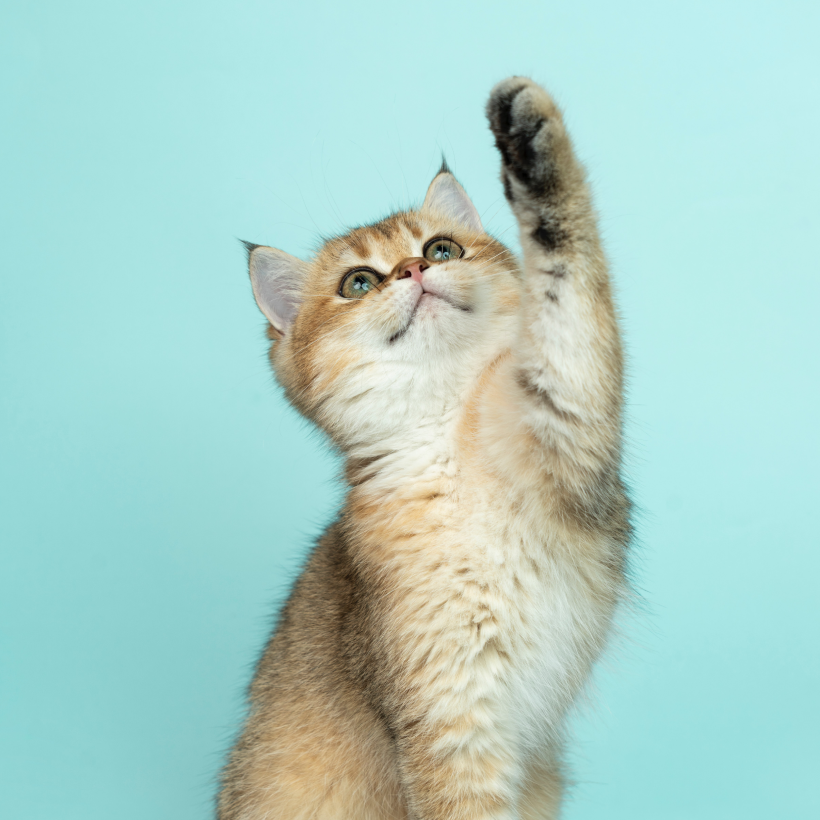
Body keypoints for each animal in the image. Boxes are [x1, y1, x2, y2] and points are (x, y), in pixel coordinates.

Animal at [216, 77, 628, 820]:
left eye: (440, 249)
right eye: (358, 283)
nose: (411, 269)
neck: (450, 434)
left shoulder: (569, 417)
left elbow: (568, 275)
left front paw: (531, 136)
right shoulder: (449, 718)